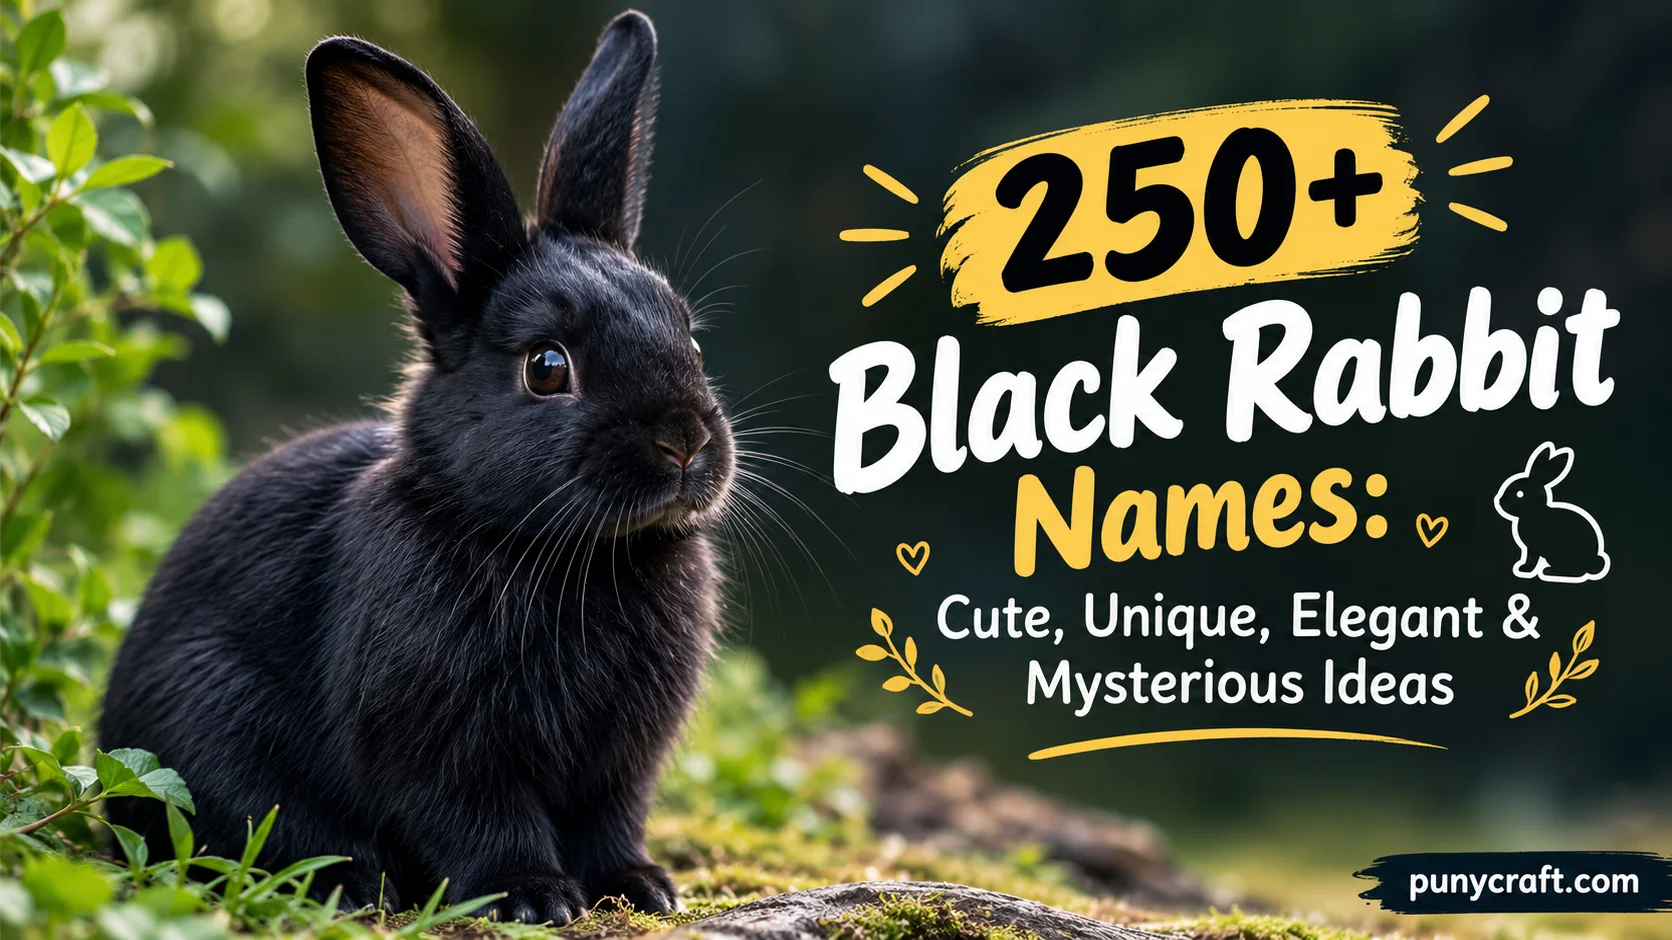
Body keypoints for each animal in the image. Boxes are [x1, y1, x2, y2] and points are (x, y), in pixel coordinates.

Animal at [98, 10, 734, 925]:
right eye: (548, 368)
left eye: (689, 338)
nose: (684, 441)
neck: (568, 552)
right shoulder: (444, 746)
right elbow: (479, 820)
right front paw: (534, 898)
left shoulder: (619, 765)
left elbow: (609, 824)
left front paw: (640, 887)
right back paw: (351, 884)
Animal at [1492, 441, 1609, 583]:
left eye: (1519, 494)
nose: (1500, 501)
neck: (1535, 512)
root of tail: (1591, 562)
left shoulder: (1533, 548)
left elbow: (1532, 559)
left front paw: (1524, 569)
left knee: (1577, 572)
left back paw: (1550, 572)